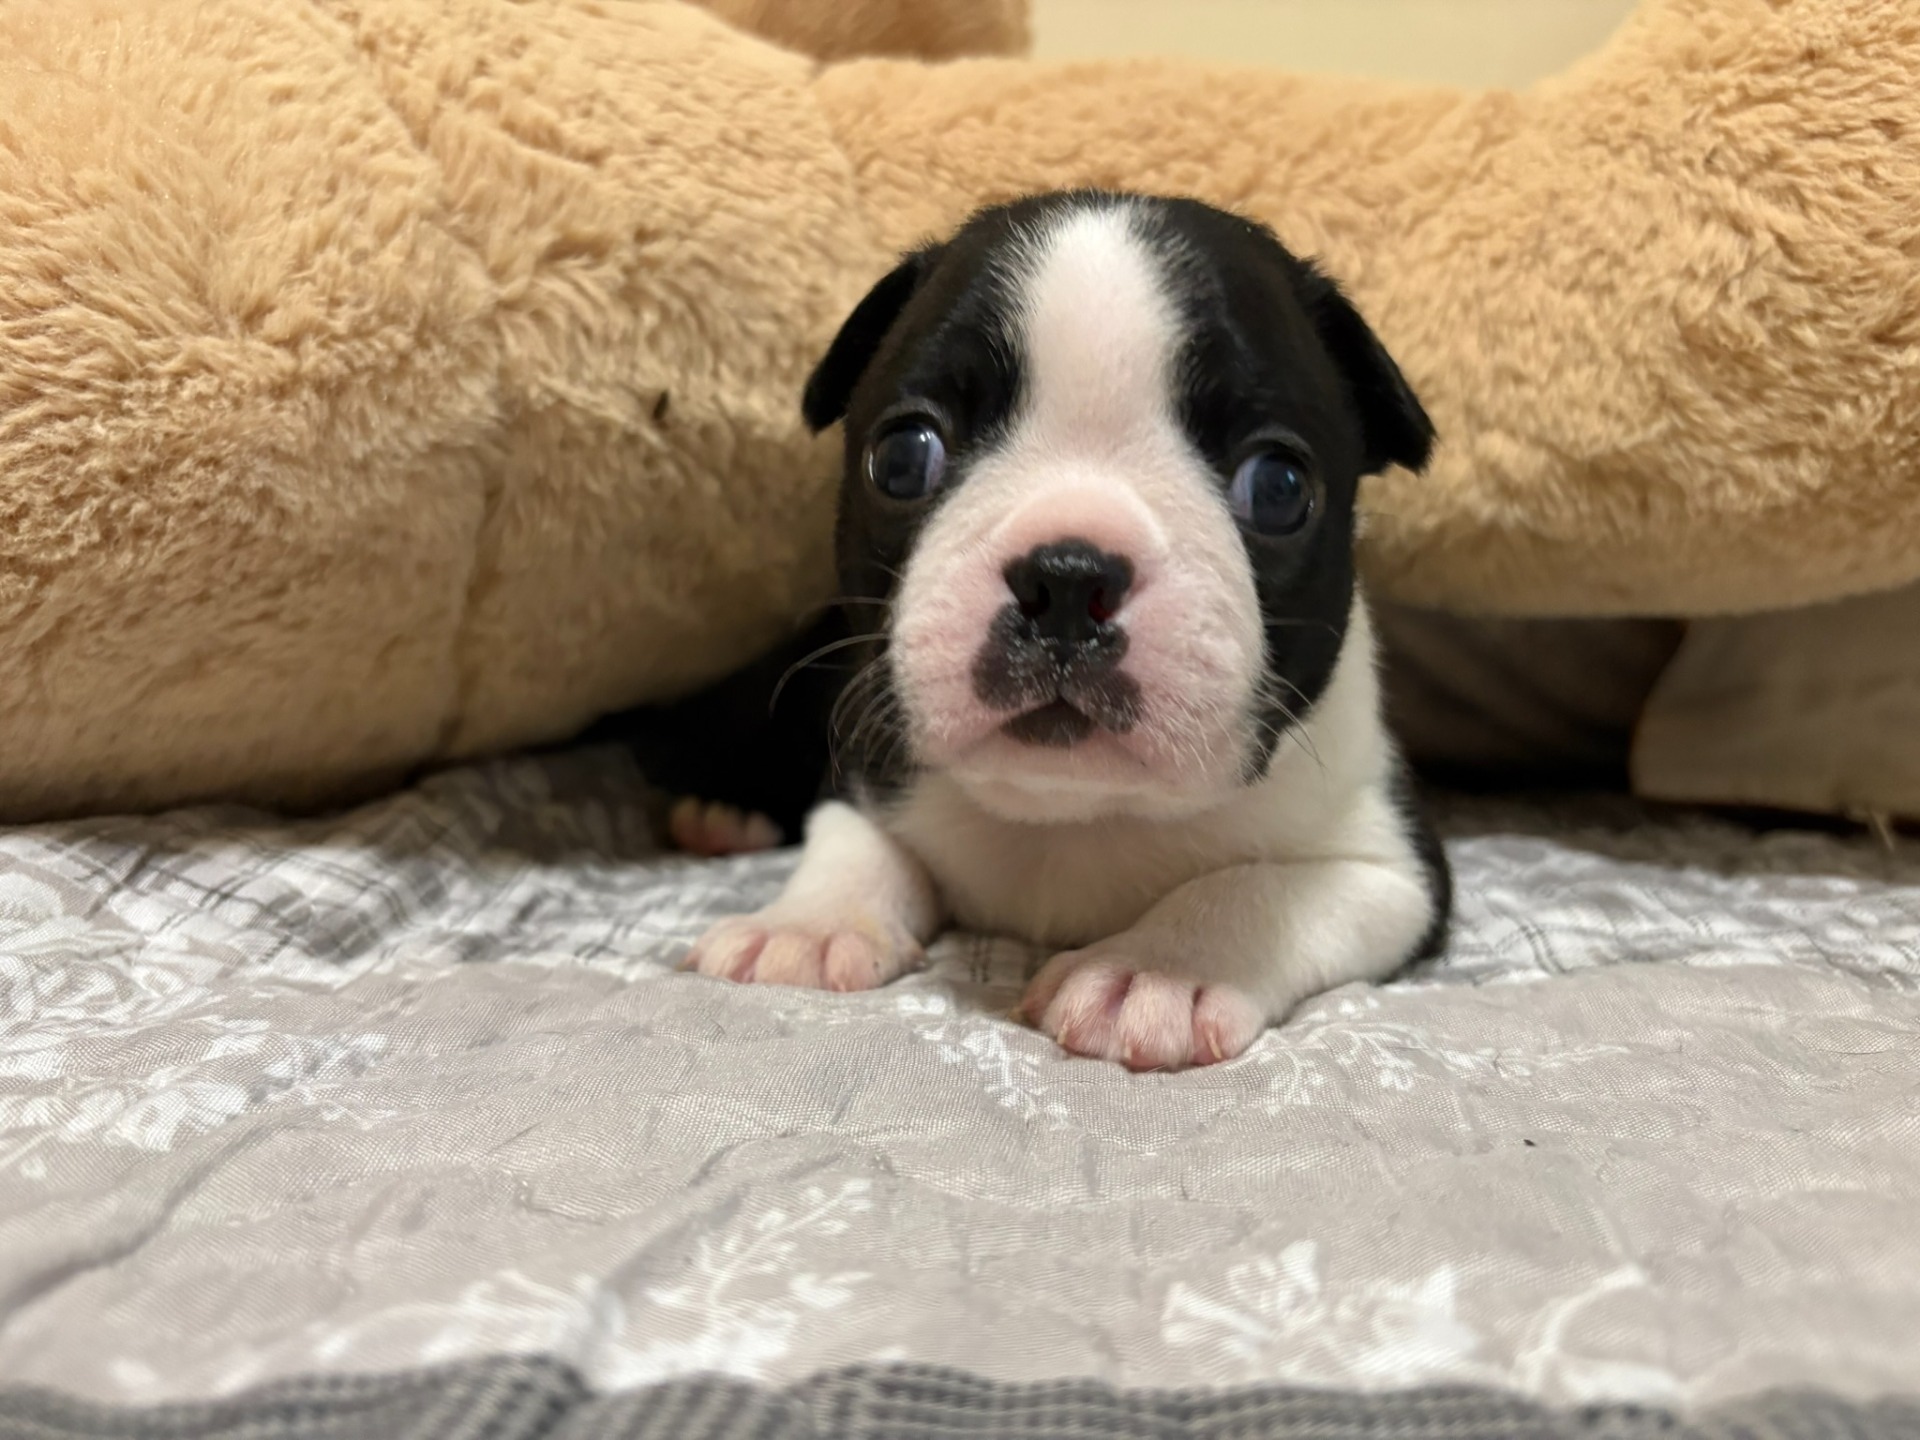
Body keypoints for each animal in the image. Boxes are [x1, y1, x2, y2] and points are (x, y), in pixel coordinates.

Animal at [640, 190, 1449, 1070]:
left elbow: (1257, 887)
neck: (1074, 810)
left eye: (1279, 487)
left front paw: (1155, 971)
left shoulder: (1393, 869)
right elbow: (853, 841)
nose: (1066, 577)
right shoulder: (870, 761)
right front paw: (807, 925)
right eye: (903, 458)